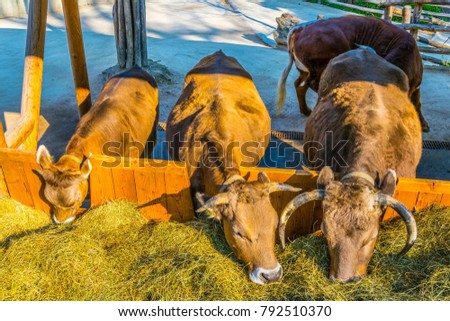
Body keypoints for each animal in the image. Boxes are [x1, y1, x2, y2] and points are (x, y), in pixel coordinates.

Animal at [274, 14, 428, 132]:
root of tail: (300, 29)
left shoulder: (417, 86)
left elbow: (417, 103)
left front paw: (423, 125)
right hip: (321, 67)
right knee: (313, 85)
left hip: (306, 71)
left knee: (300, 85)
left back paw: (306, 110)